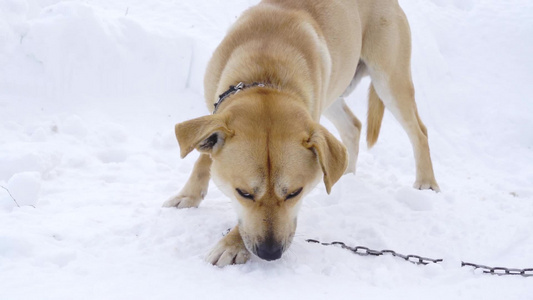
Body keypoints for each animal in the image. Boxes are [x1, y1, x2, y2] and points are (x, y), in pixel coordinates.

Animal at [164, 0, 438, 268]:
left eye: (295, 193)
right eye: (244, 193)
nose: (270, 252)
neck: (266, 73)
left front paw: (232, 244)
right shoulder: (216, 113)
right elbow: (204, 155)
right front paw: (188, 195)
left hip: (389, 79)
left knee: (419, 131)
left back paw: (426, 182)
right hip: (335, 94)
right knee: (353, 126)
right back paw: (346, 174)